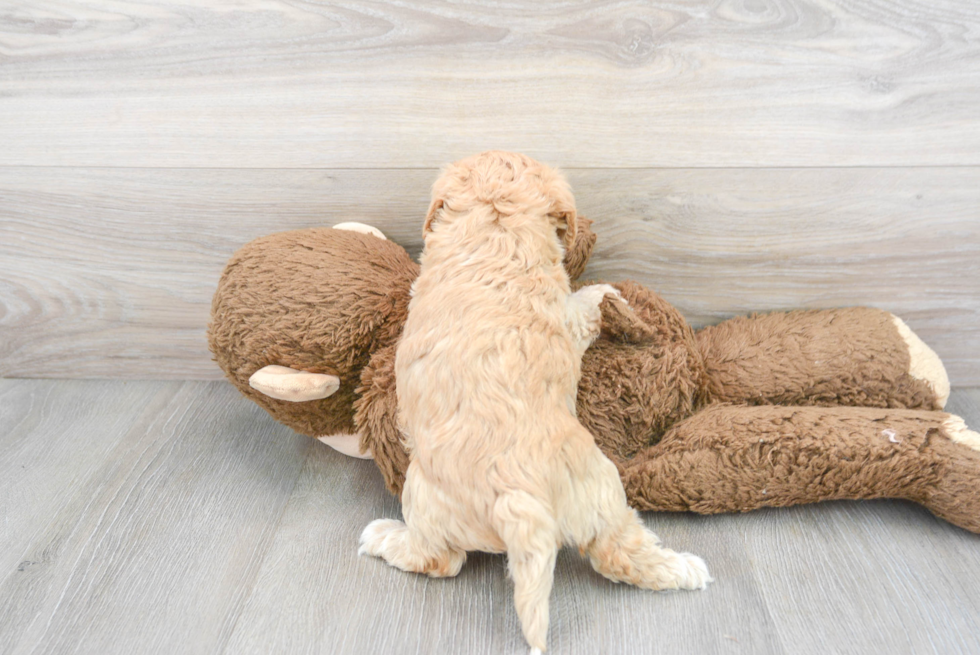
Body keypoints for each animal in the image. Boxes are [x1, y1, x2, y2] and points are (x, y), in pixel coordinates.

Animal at [360, 152, 704, 652]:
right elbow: (593, 301)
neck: (497, 225)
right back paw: (684, 570)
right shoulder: (564, 315)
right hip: (602, 493)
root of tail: (521, 497)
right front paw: (623, 308)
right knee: (619, 552)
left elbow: (590, 298)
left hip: (423, 497)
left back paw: (383, 538)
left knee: (441, 559)